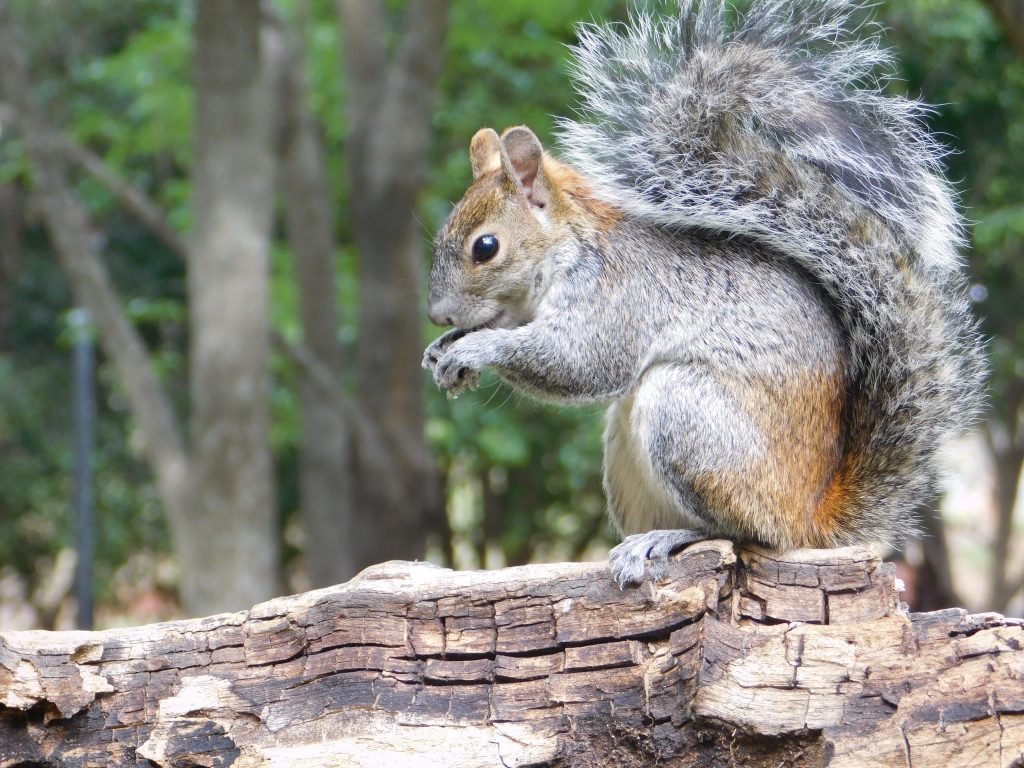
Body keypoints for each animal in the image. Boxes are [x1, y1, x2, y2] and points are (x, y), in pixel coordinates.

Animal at [422, 0, 985, 587]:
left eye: (486, 247)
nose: (437, 316)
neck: (568, 250)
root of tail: (811, 517)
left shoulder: (618, 296)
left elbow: (580, 362)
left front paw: (474, 347)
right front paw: (441, 352)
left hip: (690, 418)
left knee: (747, 533)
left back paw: (670, 538)